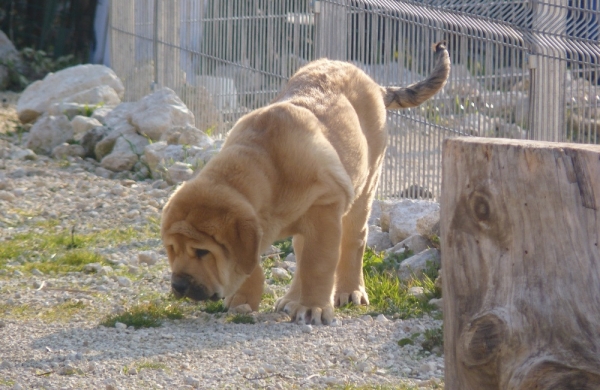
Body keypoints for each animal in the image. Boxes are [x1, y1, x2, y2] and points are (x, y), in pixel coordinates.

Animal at [161, 42, 450, 324]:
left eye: (202, 252)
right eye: (172, 249)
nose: (178, 285)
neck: (268, 171)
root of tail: (373, 83)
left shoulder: (325, 206)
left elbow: (317, 265)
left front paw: (313, 309)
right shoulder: (264, 226)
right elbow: (256, 264)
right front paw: (243, 298)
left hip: (365, 185)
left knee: (353, 240)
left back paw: (349, 291)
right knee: (301, 251)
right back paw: (292, 299)